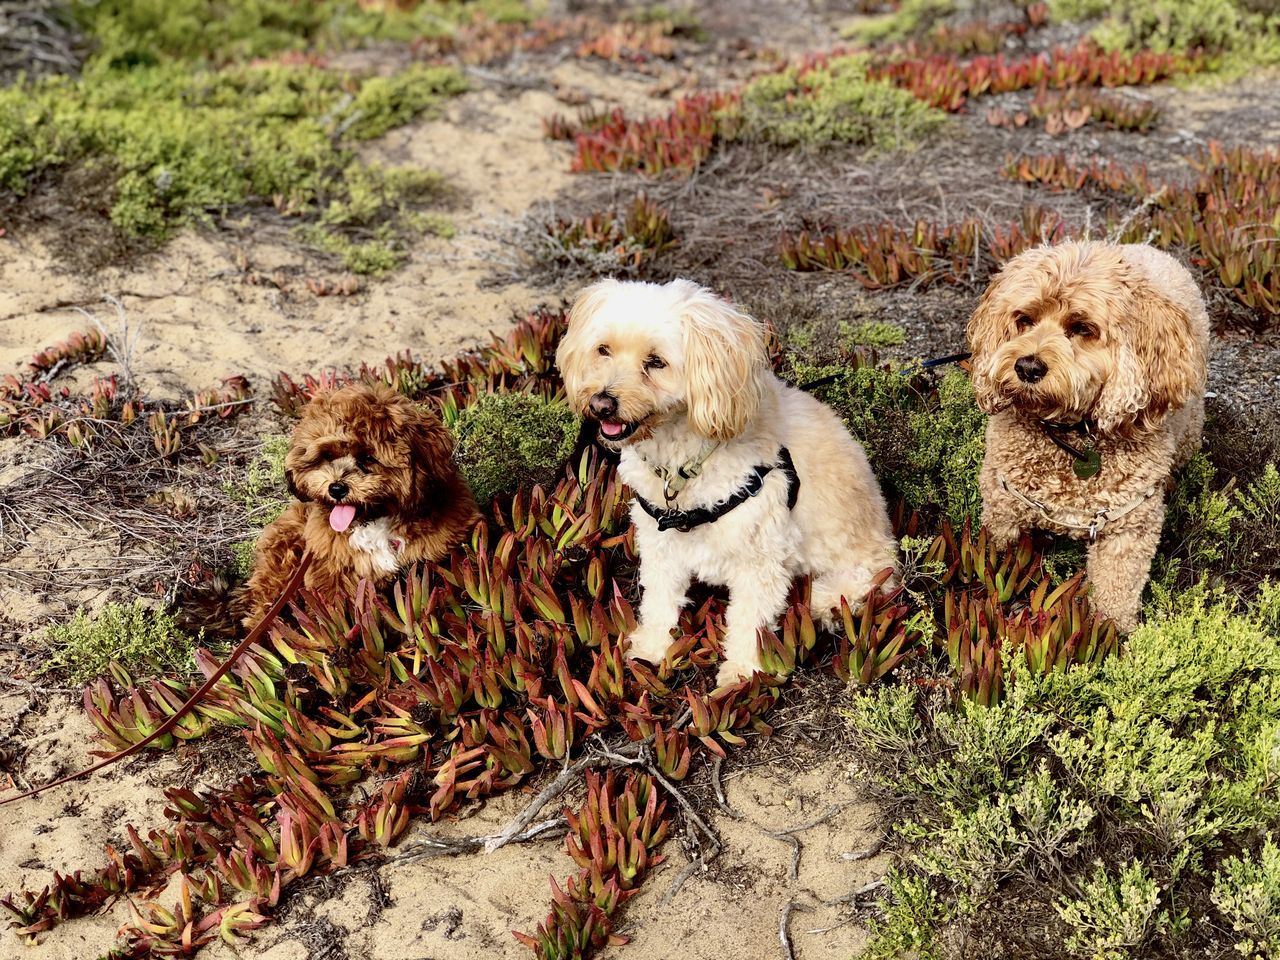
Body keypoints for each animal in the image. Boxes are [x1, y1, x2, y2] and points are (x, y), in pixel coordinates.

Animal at [555, 273, 896, 686]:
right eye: (603, 350)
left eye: (656, 362)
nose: (601, 404)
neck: (686, 460)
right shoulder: (660, 543)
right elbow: (660, 599)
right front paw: (652, 649)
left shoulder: (760, 556)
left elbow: (750, 620)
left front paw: (743, 673)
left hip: (864, 567)